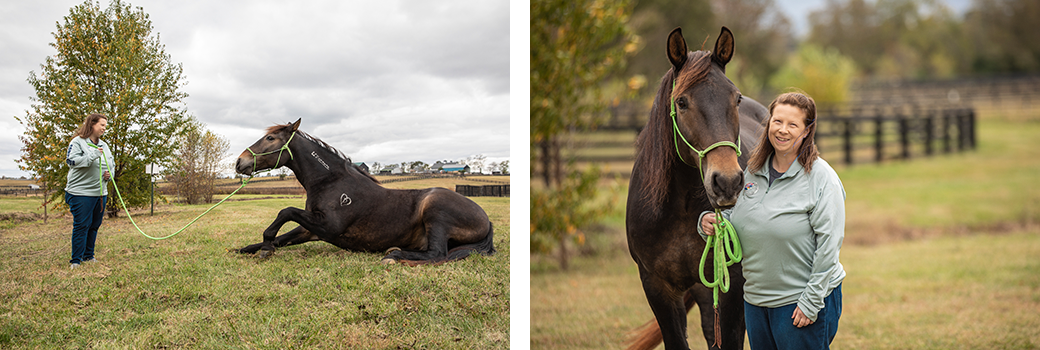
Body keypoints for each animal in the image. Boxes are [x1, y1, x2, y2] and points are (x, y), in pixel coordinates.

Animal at [236, 117, 495, 264]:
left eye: (270, 138)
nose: (240, 162)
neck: (331, 181)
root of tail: (487, 219)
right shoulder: (309, 230)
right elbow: (281, 237)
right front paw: (250, 248)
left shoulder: (328, 226)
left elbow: (285, 211)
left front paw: (266, 247)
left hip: (436, 210)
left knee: (437, 254)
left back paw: (394, 256)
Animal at [619, 27, 769, 348]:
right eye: (682, 102)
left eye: (736, 99)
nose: (727, 182)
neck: (679, 207)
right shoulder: (657, 286)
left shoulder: (731, 286)